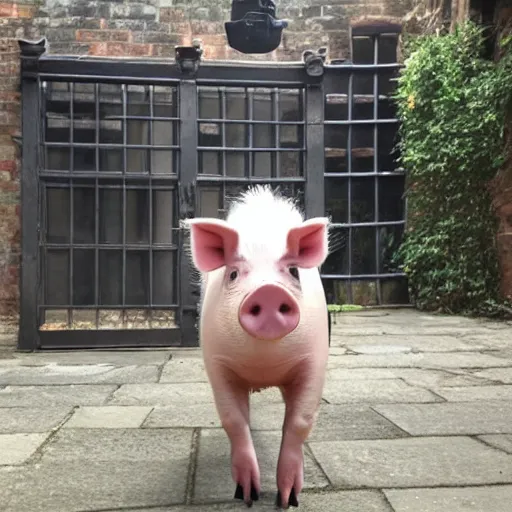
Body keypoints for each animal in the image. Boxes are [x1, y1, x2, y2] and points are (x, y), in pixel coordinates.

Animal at [186, 185, 330, 508]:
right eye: (234, 274)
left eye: (293, 271)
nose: (268, 291)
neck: (263, 365)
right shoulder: (216, 362)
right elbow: (233, 420)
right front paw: (247, 496)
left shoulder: (315, 358)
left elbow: (300, 421)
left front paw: (288, 501)